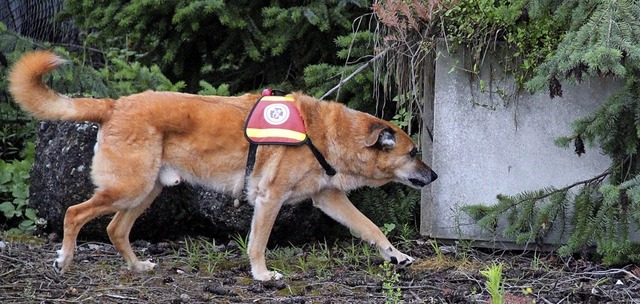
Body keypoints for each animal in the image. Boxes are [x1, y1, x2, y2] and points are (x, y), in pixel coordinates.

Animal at [10, 50, 438, 280]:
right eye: (413, 152)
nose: (434, 175)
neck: (327, 133)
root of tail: (116, 104)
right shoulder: (269, 199)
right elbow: (258, 243)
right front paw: (262, 276)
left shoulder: (329, 199)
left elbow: (370, 228)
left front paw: (396, 256)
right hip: (128, 188)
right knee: (73, 212)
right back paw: (65, 260)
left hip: (146, 191)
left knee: (115, 229)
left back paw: (137, 267)